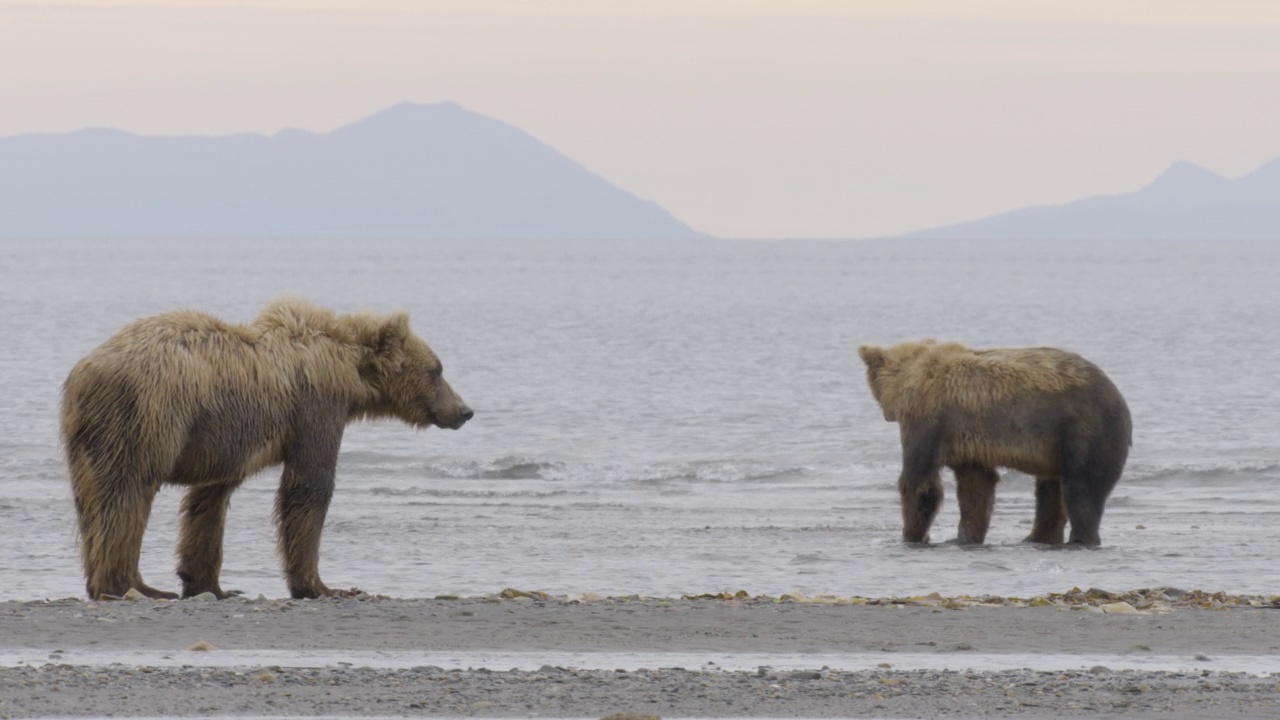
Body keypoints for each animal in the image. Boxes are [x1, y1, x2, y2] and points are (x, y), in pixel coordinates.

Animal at [60, 297, 476, 599]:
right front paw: (324, 586)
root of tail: (85, 372)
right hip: (146, 416)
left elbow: (209, 500)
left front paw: (210, 584)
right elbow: (309, 484)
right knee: (129, 492)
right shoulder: (316, 408)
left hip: (85, 439)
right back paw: (131, 585)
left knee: (90, 501)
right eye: (437, 370)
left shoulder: (226, 437)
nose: (464, 410)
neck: (352, 373)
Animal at [860, 338, 1131, 545]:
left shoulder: (929, 420)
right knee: (1050, 489)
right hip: (1056, 444)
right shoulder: (966, 440)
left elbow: (920, 481)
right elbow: (976, 485)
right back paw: (1035, 538)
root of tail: (1118, 394)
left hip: (1083, 430)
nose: (886, 415)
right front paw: (965, 536)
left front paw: (913, 535)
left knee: (1081, 489)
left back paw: (1079, 537)